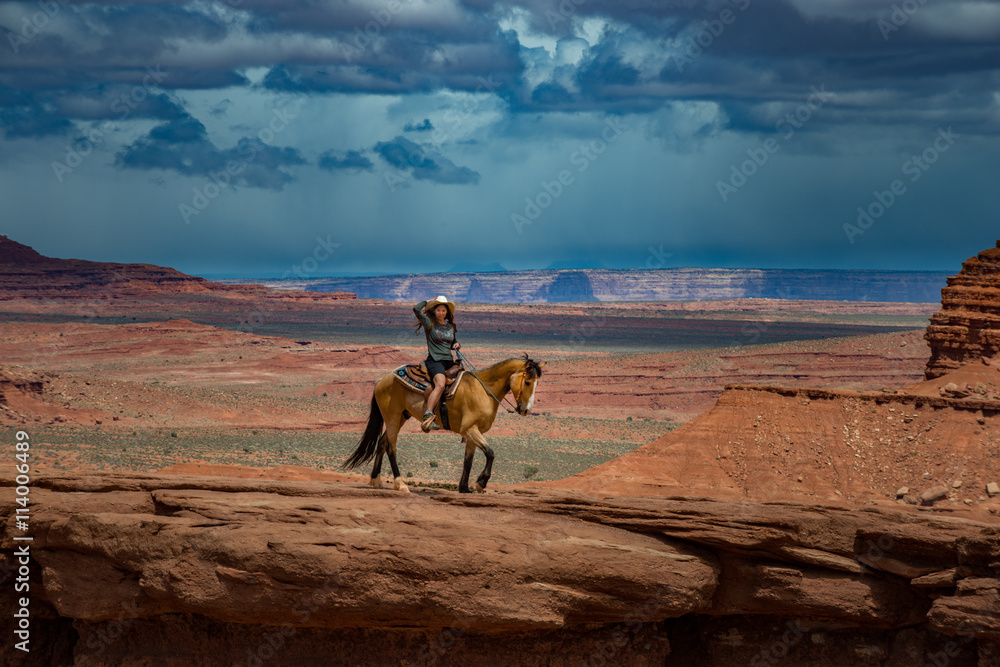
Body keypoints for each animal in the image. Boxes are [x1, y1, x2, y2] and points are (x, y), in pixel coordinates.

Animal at [346, 352, 548, 494]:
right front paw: (481, 483)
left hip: (401, 416)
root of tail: (381, 380)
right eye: (528, 382)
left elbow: (468, 460)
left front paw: (464, 488)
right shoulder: (470, 429)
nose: (526, 410)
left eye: (537, 383)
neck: (484, 390)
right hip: (393, 418)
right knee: (390, 447)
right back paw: (400, 484)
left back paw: (376, 481)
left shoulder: (472, 433)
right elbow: (490, 453)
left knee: (382, 442)